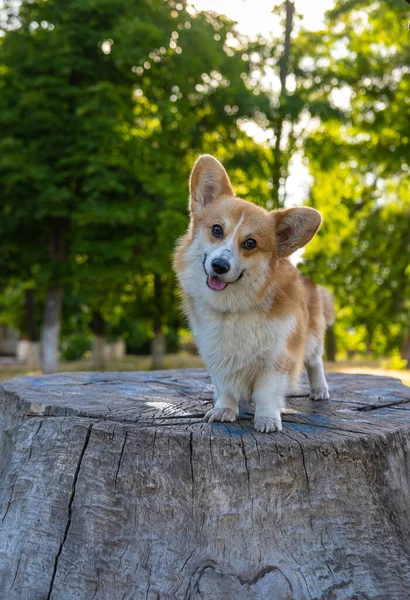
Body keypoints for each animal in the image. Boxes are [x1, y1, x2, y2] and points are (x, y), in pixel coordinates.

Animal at [173, 155, 334, 432]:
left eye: (250, 243)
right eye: (217, 230)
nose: (220, 266)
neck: (233, 308)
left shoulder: (277, 358)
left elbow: (267, 392)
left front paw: (267, 419)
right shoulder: (217, 357)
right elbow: (226, 388)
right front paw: (224, 410)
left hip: (312, 336)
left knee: (315, 362)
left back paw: (319, 389)